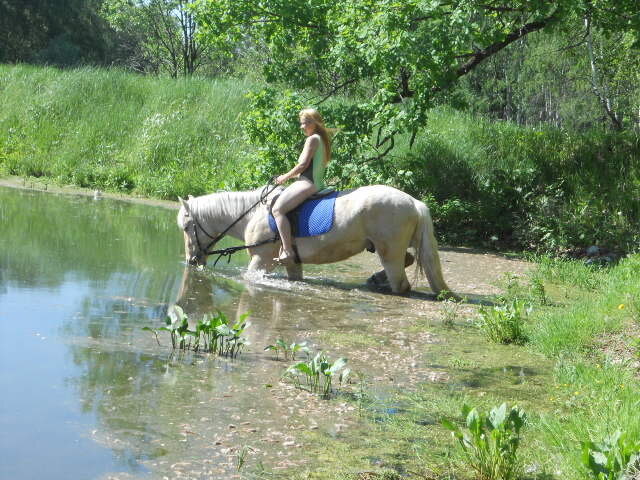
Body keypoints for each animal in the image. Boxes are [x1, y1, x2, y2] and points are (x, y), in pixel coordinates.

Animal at [178, 185, 452, 294]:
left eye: (187, 227)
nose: (192, 260)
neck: (252, 214)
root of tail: (414, 202)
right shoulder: (292, 263)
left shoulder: (261, 260)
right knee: (408, 259)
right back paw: (375, 279)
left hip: (389, 252)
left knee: (401, 283)